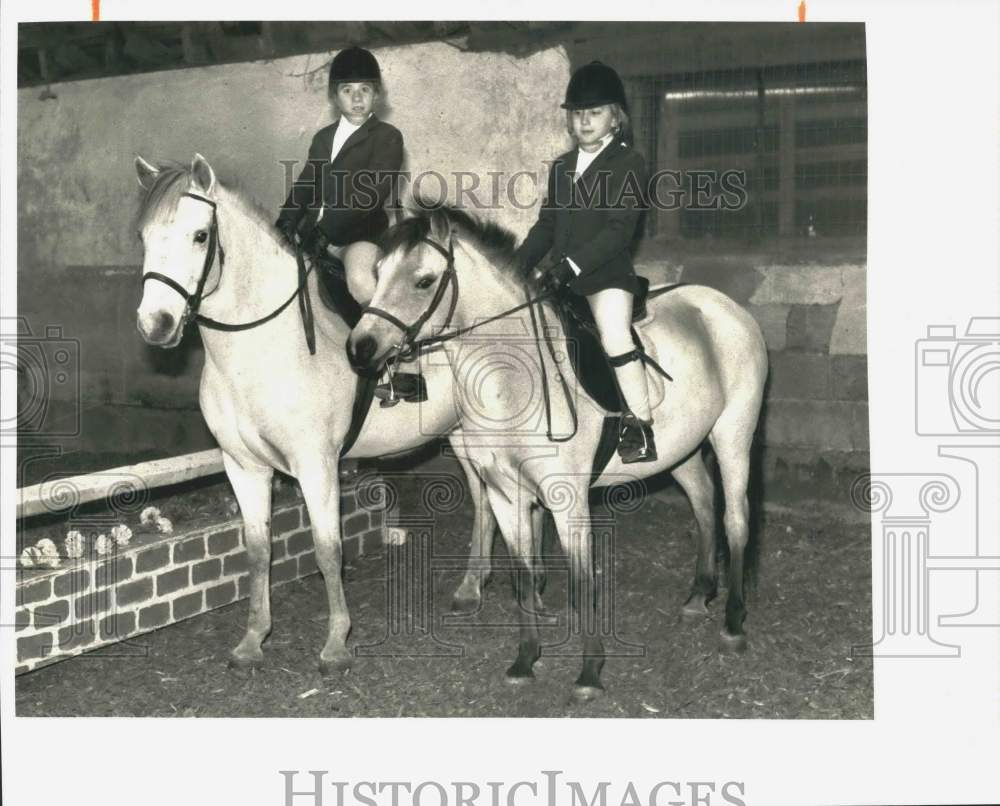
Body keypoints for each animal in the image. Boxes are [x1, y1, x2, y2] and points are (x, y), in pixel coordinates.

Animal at [135, 158, 500, 676]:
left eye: (200, 235)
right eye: (144, 236)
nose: (156, 324)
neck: (257, 349)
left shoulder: (316, 465)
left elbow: (329, 552)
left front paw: (335, 646)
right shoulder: (243, 466)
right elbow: (257, 549)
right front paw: (253, 640)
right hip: (460, 433)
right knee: (483, 496)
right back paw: (472, 586)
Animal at [348, 205, 768, 704]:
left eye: (424, 281)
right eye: (377, 272)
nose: (360, 348)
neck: (512, 379)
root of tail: (726, 306)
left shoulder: (567, 499)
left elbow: (583, 580)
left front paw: (589, 673)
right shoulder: (506, 494)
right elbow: (524, 573)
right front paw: (526, 660)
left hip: (733, 434)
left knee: (735, 518)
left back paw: (734, 623)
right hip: (680, 449)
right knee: (704, 503)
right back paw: (698, 596)